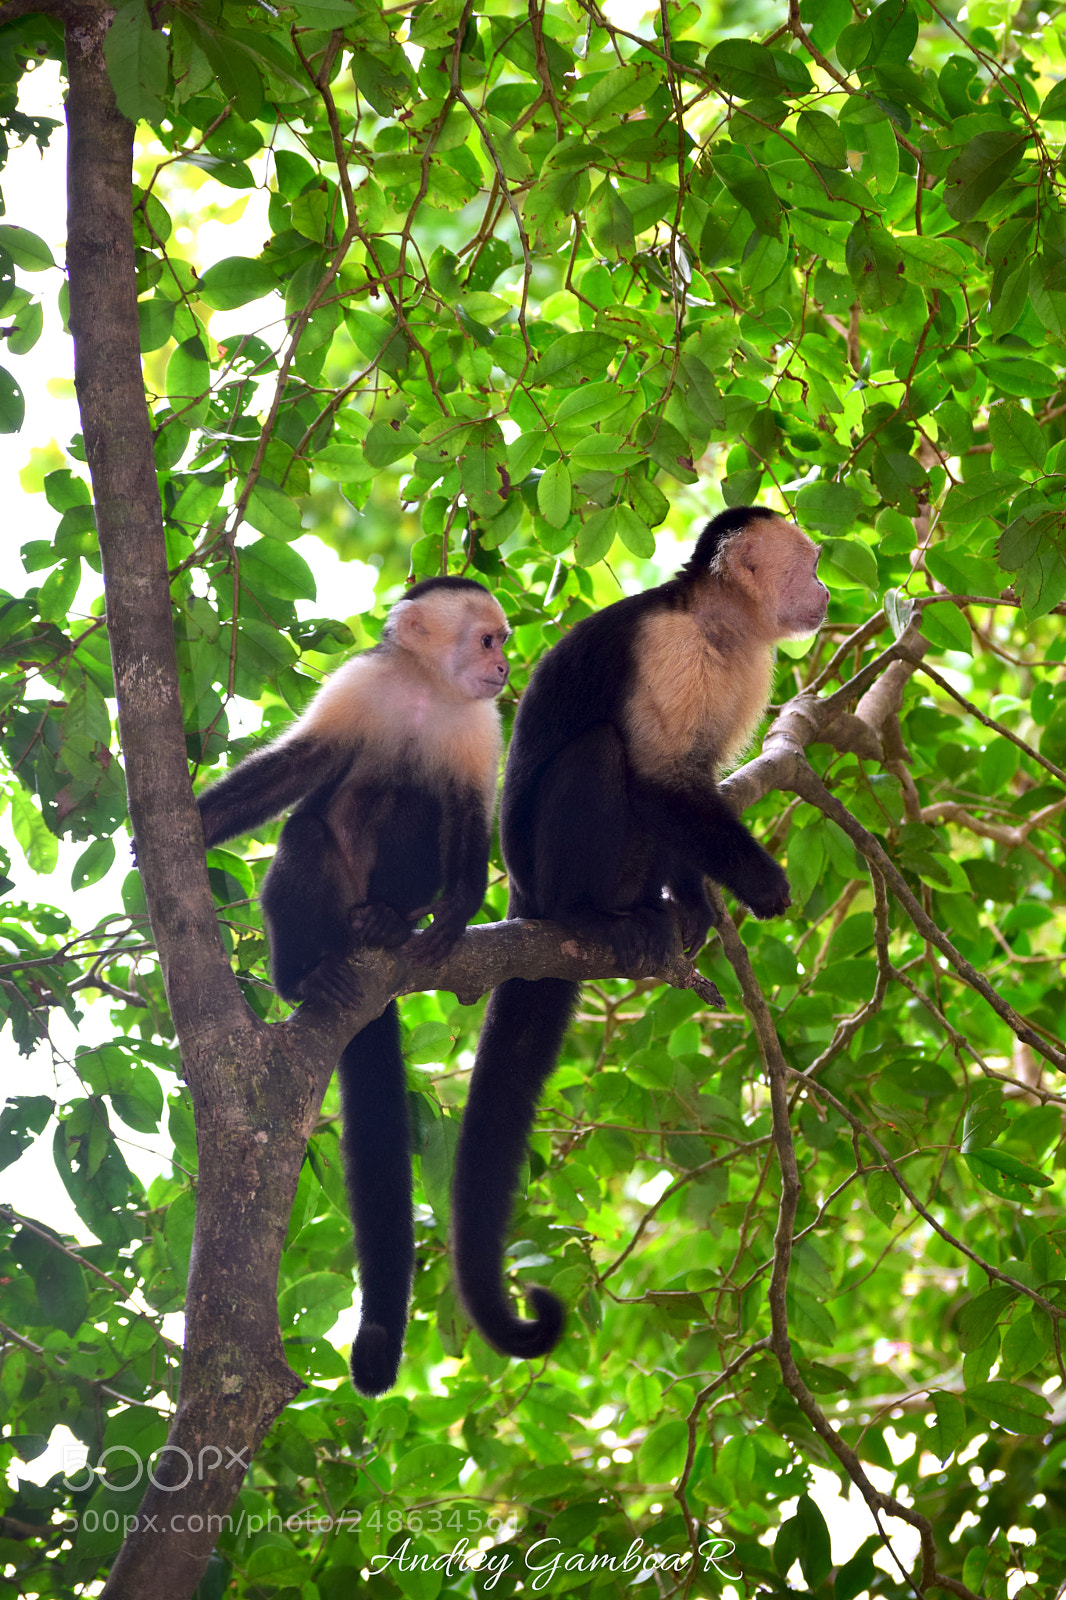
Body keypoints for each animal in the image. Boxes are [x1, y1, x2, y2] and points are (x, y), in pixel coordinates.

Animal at [197, 576, 510, 1396]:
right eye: (489, 640)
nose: (506, 666)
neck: (430, 691)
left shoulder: (481, 726)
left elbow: (468, 816)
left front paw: (457, 909)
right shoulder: (362, 685)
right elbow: (303, 765)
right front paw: (198, 822)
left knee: (419, 802)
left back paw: (391, 922)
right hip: (324, 904)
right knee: (309, 831)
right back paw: (307, 973)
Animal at [450, 506, 828, 1362]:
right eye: (814, 563)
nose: (827, 591)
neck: (721, 626)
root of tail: (522, 894)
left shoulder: (747, 672)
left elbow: (700, 780)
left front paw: (701, 901)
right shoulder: (670, 650)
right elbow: (661, 777)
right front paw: (761, 884)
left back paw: (663, 913)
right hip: (546, 872)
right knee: (602, 753)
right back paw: (588, 916)